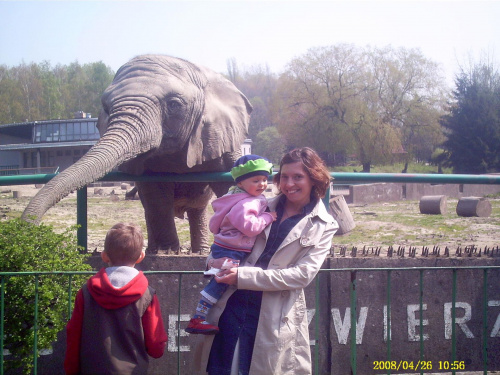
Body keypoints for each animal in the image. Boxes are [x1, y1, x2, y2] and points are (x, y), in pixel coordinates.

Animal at [21, 55, 252, 256]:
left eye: (174, 105)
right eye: (105, 107)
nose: (29, 235)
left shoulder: (221, 134)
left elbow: (228, 183)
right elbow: (155, 195)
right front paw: (166, 253)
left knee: (198, 209)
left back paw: (199, 252)